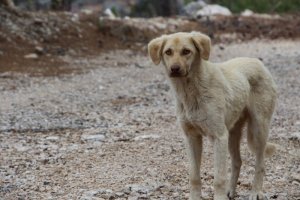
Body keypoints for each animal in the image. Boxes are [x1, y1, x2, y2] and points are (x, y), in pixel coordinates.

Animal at [148, 32, 276, 199]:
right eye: (168, 52)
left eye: (186, 51)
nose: (174, 69)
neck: (190, 92)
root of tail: (257, 62)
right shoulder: (192, 137)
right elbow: (194, 176)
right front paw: (195, 197)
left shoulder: (219, 136)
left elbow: (219, 178)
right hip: (232, 133)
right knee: (237, 161)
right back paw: (231, 191)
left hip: (258, 128)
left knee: (260, 164)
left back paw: (256, 191)